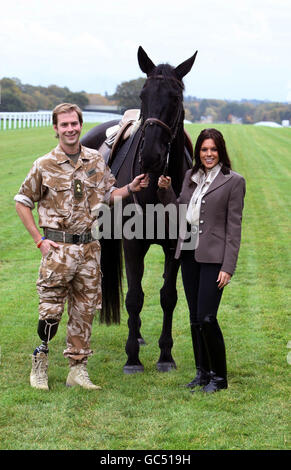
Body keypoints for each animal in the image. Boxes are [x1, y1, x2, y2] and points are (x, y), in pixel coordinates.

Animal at [81, 46, 197, 372]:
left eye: (176, 97)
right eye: (143, 95)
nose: (151, 155)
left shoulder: (173, 246)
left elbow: (168, 297)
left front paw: (165, 355)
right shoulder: (132, 244)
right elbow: (134, 297)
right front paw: (132, 357)